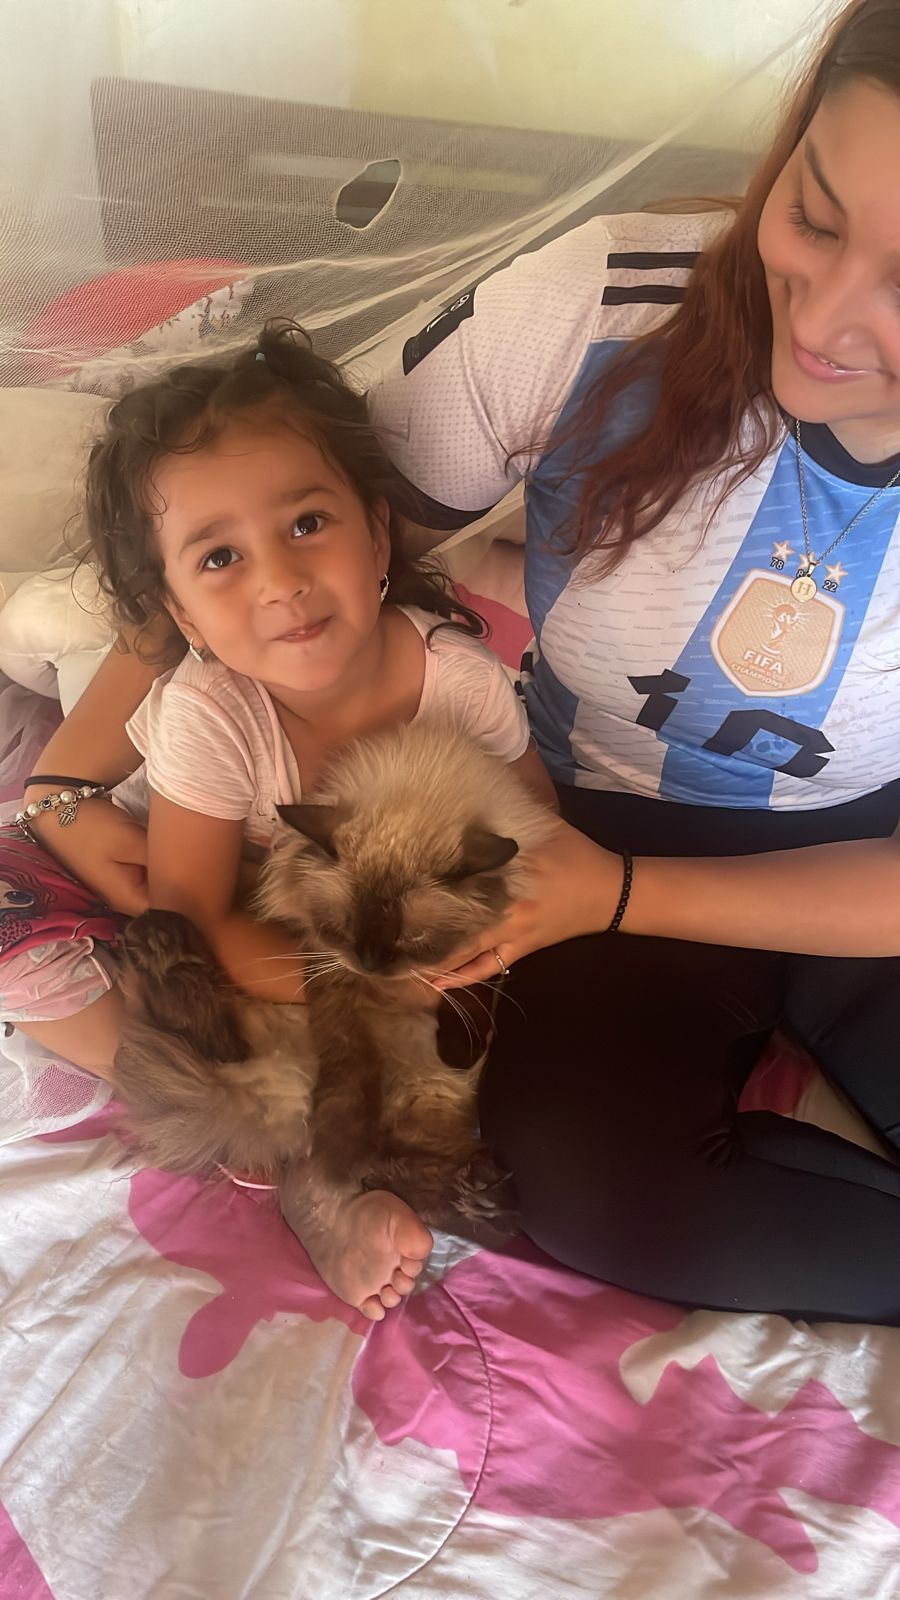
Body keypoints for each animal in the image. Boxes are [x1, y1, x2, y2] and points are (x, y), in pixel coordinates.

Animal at [113, 720, 556, 1244]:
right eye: (343, 927)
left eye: (413, 939)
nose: (370, 963)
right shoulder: (328, 967)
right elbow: (348, 1073)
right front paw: (341, 1151)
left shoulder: (488, 947)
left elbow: (470, 988)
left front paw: (458, 1042)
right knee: (215, 1040)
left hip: (427, 1097)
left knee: (397, 1169)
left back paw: (481, 1200)